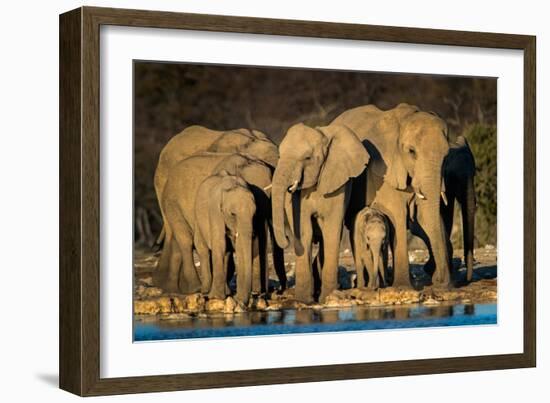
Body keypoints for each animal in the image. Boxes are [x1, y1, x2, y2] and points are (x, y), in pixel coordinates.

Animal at [154, 152, 276, 296]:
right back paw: (195, 289)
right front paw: (217, 296)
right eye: (232, 214)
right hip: (172, 204)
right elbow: (220, 243)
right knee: (187, 241)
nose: (258, 293)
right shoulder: (215, 211)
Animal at [272, 123, 370, 304]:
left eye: (307, 158)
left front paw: (327, 298)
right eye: (279, 155)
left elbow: (331, 230)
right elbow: (305, 231)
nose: (287, 240)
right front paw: (304, 301)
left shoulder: (337, 186)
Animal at [332, 102, 452, 288]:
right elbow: (397, 214)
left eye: (446, 156)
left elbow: (424, 215)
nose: (438, 281)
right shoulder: (383, 172)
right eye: (411, 152)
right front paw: (403, 286)